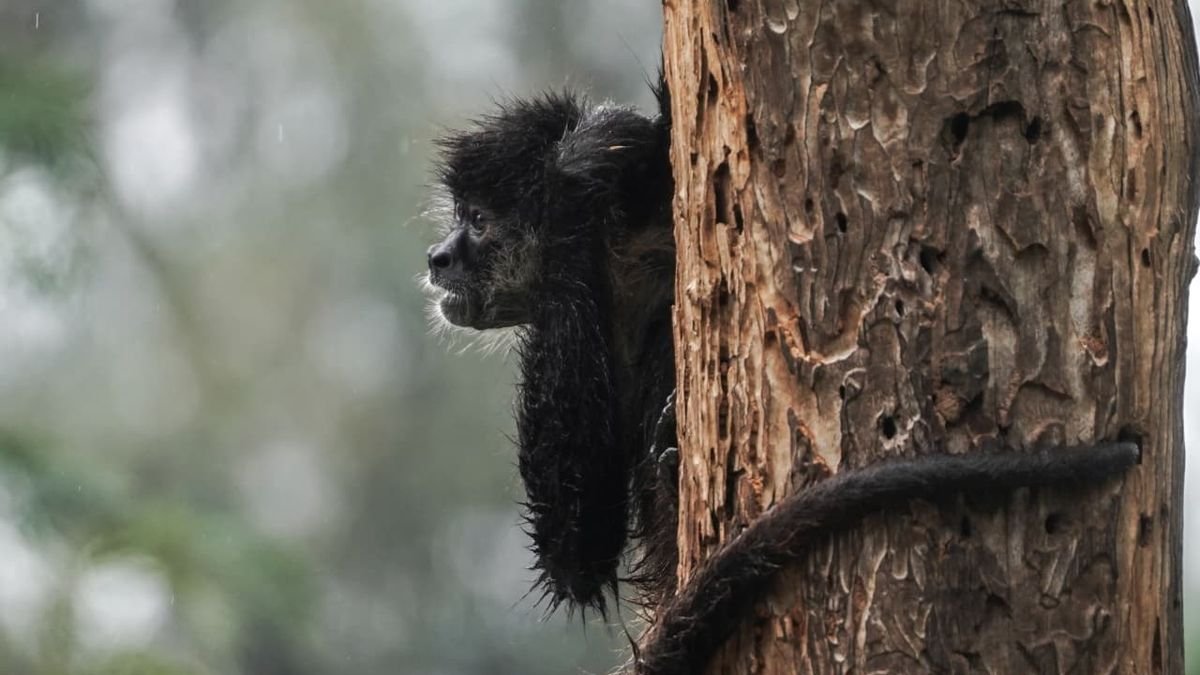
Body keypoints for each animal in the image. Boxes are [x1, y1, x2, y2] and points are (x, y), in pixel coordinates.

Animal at [421, 88, 1140, 675]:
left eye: (478, 220)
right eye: (459, 217)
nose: (439, 257)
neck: (634, 254)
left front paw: (575, 172)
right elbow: (577, 559)